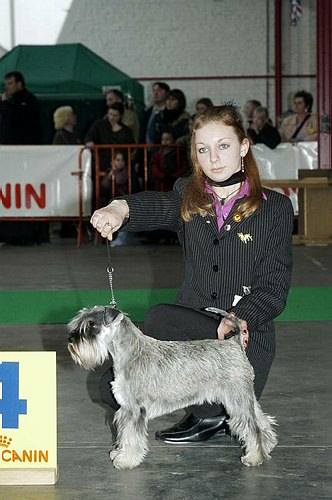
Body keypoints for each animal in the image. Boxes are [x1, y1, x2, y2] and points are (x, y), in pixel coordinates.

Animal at [67, 302, 278, 470]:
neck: (130, 353)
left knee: (252, 427)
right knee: (261, 420)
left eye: (92, 324)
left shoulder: (135, 410)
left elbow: (132, 437)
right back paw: (267, 446)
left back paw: (254, 457)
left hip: (236, 399)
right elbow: (124, 434)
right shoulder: (125, 409)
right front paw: (119, 453)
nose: (71, 340)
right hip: (244, 397)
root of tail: (234, 343)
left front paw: (127, 460)